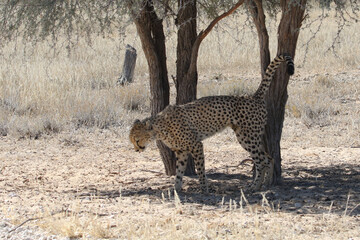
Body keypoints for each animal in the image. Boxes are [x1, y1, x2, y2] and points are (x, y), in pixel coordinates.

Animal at [131, 53, 294, 192]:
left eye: (137, 140)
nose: (136, 150)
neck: (159, 129)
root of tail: (253, 96)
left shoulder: (196, 145)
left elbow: (200, 169)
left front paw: (204, 188)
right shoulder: (181, 151)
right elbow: (179, 172)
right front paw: (176, 189)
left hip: (248, 138)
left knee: (261, 161)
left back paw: (254, 187)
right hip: (247, 138)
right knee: (268, 158)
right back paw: (265, 185)